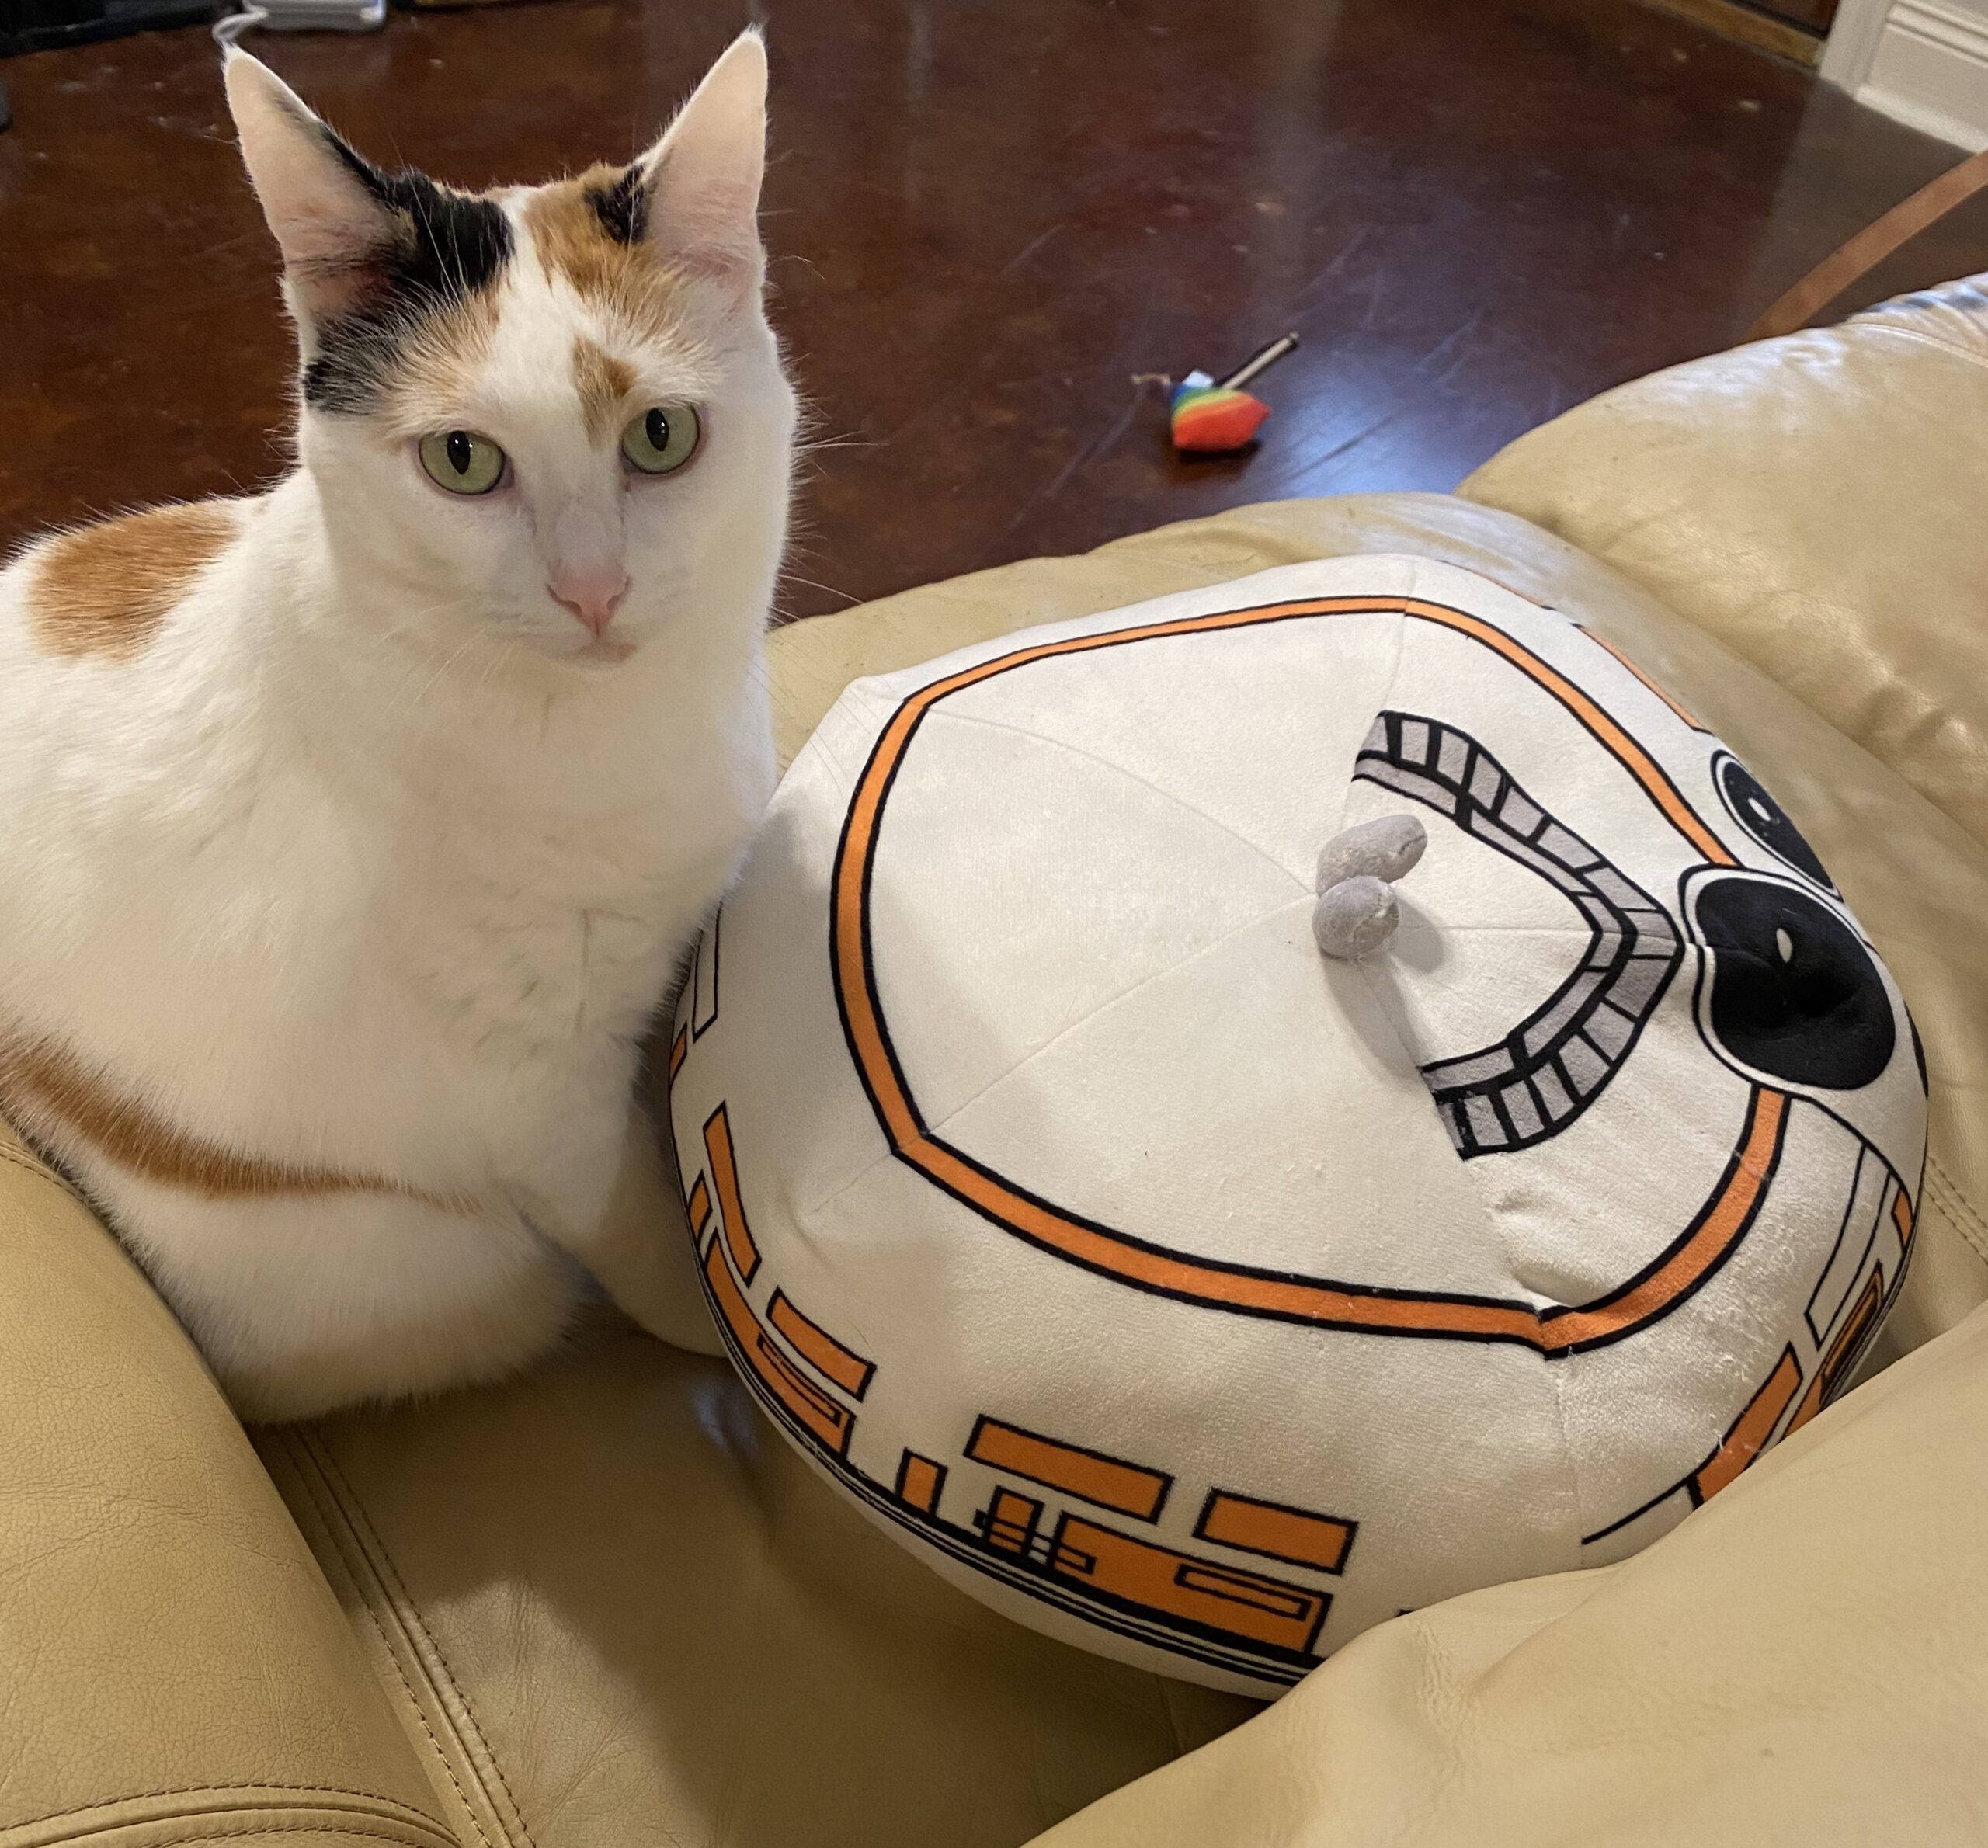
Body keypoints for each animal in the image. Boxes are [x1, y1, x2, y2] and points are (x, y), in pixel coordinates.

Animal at [0, 32, 795, 1415]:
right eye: (463, 462)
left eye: (660, 435)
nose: (593, 590)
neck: (610, 730)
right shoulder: (534, 1106)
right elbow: (638, 1224)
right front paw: (710, 1328)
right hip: (440, 1270)